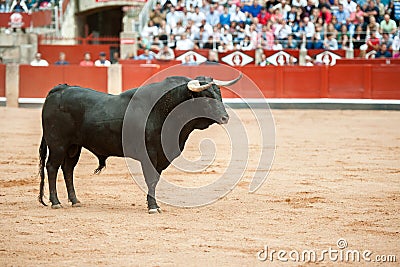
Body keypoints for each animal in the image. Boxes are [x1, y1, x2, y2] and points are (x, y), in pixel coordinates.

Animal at [38, 74, 241, 213]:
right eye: (206, 97)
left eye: (219, 94)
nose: (225, 118)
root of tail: (60, 89)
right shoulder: (149, 154)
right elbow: (150, 179)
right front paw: (153, 207)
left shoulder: (161, 156)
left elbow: (155, 180)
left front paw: (153, 204)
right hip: (58, 145)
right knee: (52, 167)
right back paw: (56, 202)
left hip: (74, 147)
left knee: (68, 169)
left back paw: (75, 200)